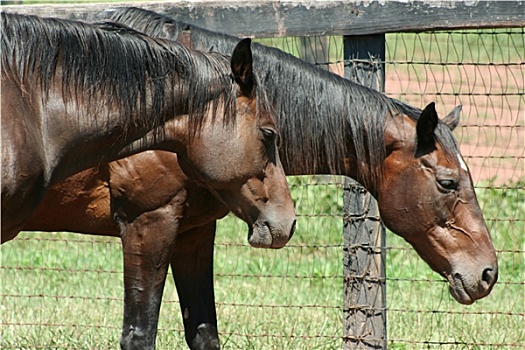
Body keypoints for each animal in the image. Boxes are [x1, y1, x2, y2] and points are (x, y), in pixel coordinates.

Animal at [23, 6, 496, 350]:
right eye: (448, 183)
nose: (488, 272)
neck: (189, 110)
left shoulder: (193, 232)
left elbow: (205, 334)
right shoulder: (147, 224)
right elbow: (140, 336)